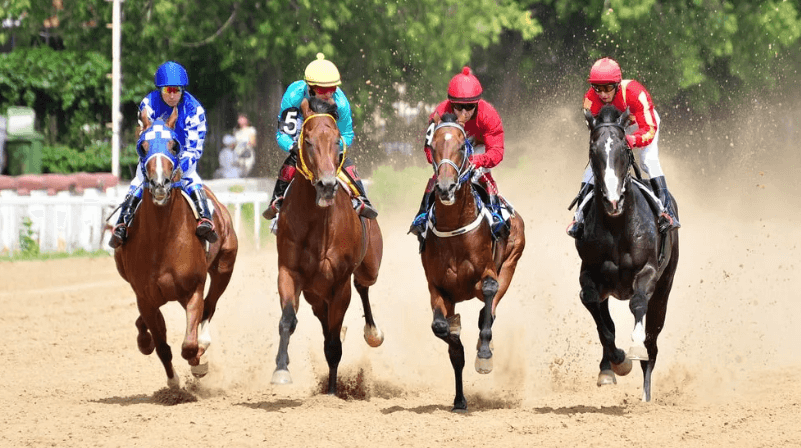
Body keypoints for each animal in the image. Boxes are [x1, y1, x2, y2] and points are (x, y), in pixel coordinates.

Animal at [114, 107, 238, 389]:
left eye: (174, 144)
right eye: (143, 146)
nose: (160, 184)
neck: (163, 240)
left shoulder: (193, 289)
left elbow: (189, 344)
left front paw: (199, 361)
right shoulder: (145, 296)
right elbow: (162, 345)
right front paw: (172, 381)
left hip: (224, 268)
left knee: (210, 305)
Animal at [271, 97, 384, 395]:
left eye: (336, 141)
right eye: (308, 140)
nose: (327, 185)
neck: (318, 221)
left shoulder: (339, 283)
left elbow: (334, 344)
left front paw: (332, 392)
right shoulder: (289, 272)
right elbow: (287, 320)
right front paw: (281, 369)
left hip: (369, 266)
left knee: (363, 287)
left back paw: (373, 333)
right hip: (314, 293)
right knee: (324, 320)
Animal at [420, 113, 525, 412]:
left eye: (461, 146)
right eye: (432, 146)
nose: (445, 187)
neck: (454, 229)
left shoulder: (488, 274)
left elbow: (488, 295)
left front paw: (484, 354)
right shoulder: (437, 288)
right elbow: (442, 329)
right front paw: (455, 338)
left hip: (510, 264)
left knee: (491, 307)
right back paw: (459, 399)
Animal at [576, 104, 679, 402]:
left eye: (624, 147)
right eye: (593, 149)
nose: (613, 200)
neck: (617, 225)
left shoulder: (648, 272)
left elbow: (638, 305)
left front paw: (633, 348)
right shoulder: (590, 273)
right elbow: (597, 312)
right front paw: (616, 363)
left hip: (665, 287)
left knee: (653, 341)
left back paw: (646, 394)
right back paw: (607, 367)